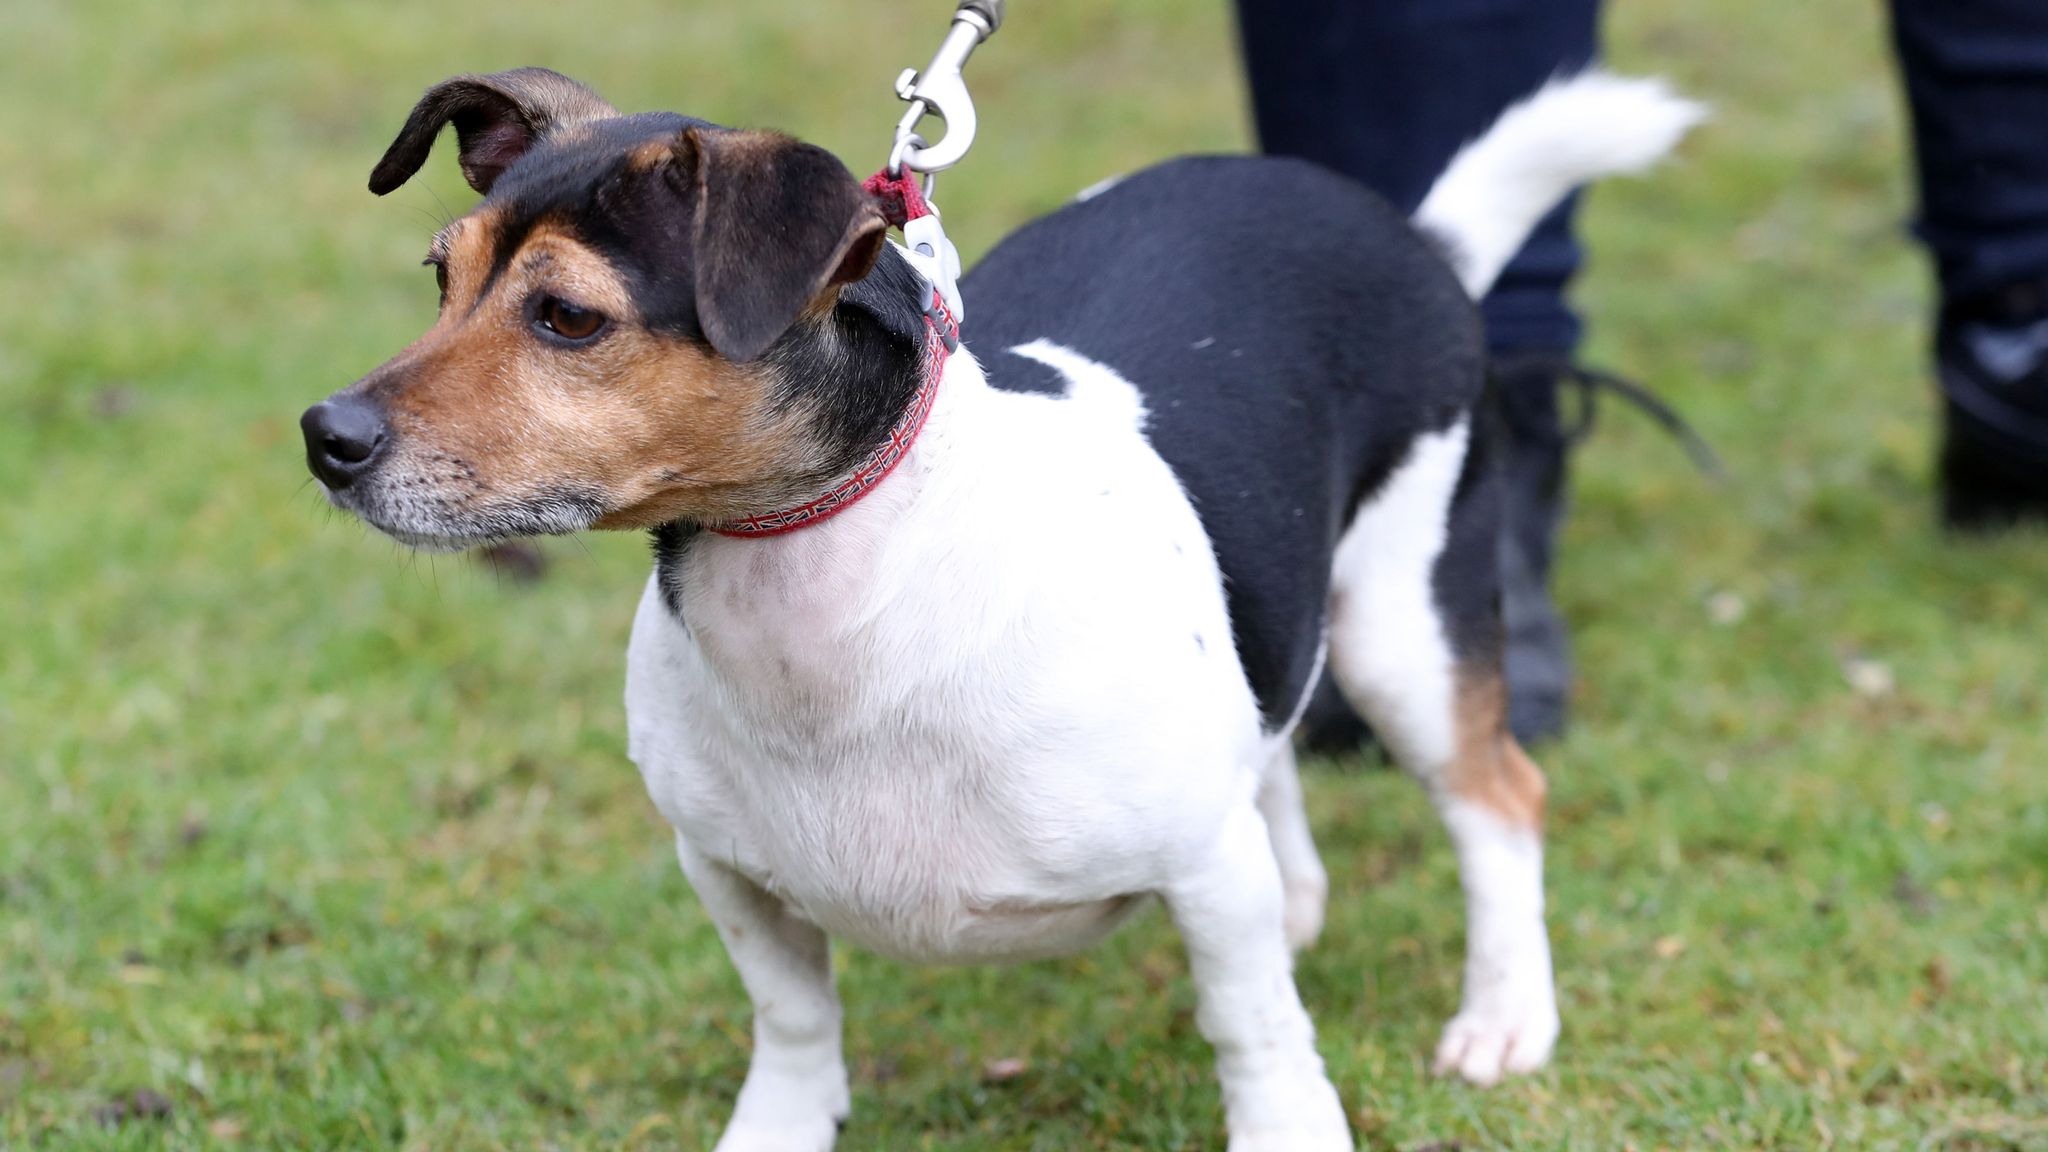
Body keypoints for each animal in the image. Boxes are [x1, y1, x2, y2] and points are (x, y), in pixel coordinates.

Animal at [303, 69, 1703, 1147]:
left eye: (567, 317)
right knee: (1273, 738)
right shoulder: (729, 871)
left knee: (1495, 802)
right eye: (439, 277)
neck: (836, 602)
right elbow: (793, 1022)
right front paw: (781, 1128)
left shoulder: (1202, 869)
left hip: (1404, 625)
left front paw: (1289, 1126)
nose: (325, 437)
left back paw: (1503, 1014)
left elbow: (1251, 1029)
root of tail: (1409, 234)